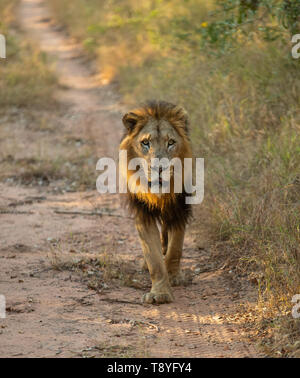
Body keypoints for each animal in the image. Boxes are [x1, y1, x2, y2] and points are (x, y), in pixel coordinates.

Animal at [119, 100, 192, 304]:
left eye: (171, 142)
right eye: (145, 143)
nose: (160, 168)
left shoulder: (180, 207)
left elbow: (176, 247)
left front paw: (173, 276)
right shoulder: (143, 213)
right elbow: (154, 258)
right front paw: (160, 293)